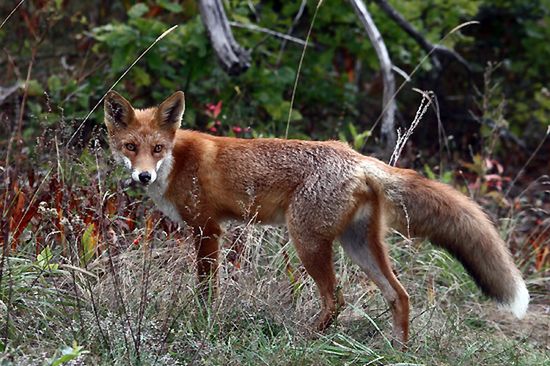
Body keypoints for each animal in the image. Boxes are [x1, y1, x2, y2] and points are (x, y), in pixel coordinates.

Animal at [102, 90, 532, 344]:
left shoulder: (208, 230)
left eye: (157, 148)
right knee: (399, 295)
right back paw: (397, 349)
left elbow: (207, 290)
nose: (143, 176)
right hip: (358, 246)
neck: (178, 162)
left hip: (307, 241)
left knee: (336, 298)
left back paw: (305, 337)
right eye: (131, 147)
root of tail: (355, 156)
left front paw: (203, 320)